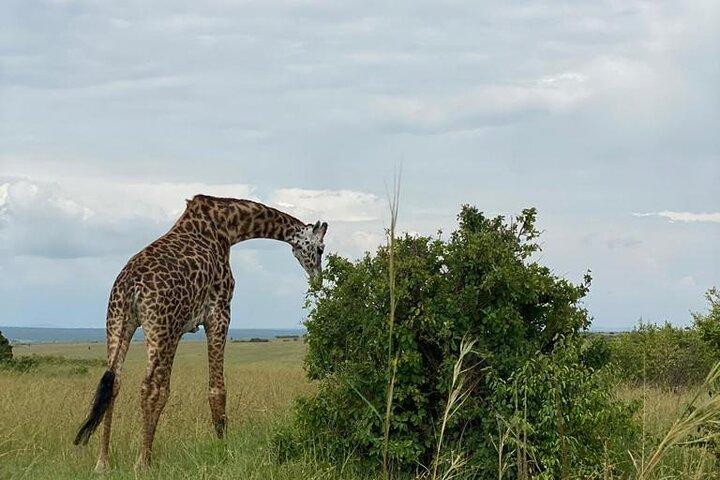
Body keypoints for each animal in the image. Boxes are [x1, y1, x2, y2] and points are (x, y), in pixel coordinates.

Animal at [73, 195, 327, 472]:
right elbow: (217, 390)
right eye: (321, 249)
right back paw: (142, 463)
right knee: (154, 388)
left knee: (114, 382)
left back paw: (102, 463)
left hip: (117, 322)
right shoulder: (219, 311)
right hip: (164, 328)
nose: (318, 280)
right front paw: (224, 451)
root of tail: (131, 287)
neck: (230, 227)